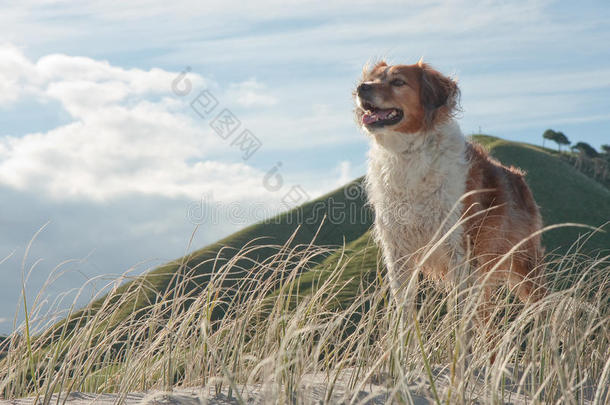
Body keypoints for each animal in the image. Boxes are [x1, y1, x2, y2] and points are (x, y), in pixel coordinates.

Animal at [354, 59, 544, 306]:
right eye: (372, 79)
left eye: (398, 82)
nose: (361, 88)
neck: (407, 154)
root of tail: (518, 177)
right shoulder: (398, 253)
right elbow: (404, 308)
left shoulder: (459, 248)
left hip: (525, 265)